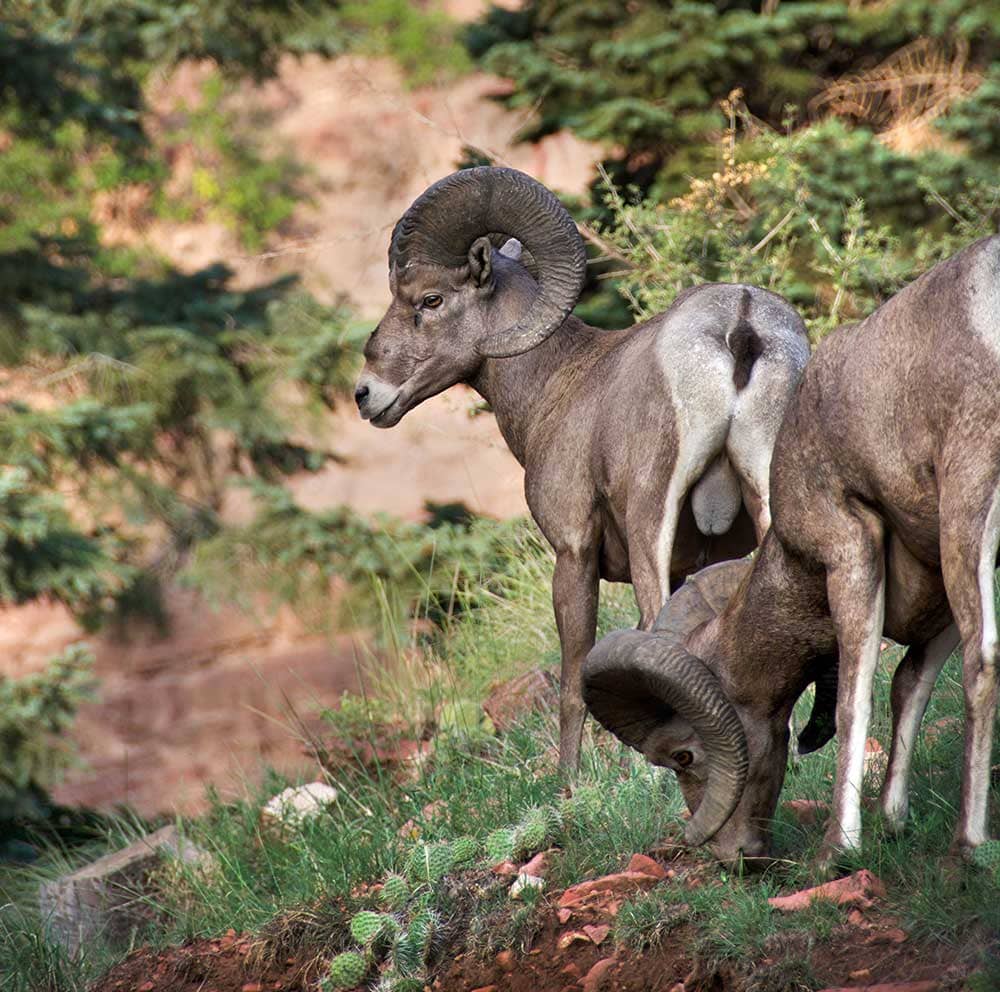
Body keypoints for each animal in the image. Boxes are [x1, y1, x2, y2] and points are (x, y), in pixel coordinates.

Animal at [360, 169, 812, 776]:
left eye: (430, 299)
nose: (366, 394)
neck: (557, 382)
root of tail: (740, 323)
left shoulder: (574, 552)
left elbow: (573, 678)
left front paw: (568, 782)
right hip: (766, 499)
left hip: (651, 523)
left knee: (654, 625)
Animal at [584, 232, 1000, 860]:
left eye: (682, 755)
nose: (733, 856)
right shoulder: (932, 586)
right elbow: (910, 685)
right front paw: (892, 822)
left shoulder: (850, 549)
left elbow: (856, 694)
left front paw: (839, 848)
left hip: (970, 508)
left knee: (982, 661)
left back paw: (969, 846)